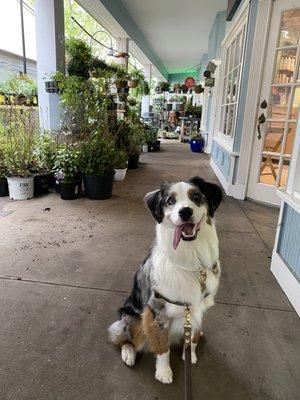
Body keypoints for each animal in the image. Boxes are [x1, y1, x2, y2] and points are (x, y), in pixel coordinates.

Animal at [108, 177, 223, 382]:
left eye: (196, 197)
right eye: (171, 201)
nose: (185, 212)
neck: (191, 258)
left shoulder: (197, 308)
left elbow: (192, 336)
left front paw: (190, 354)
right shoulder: (157, 312)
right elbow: (162, 347)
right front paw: (164, 372)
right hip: (131, 317)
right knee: (123, 337)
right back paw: (128, 353)